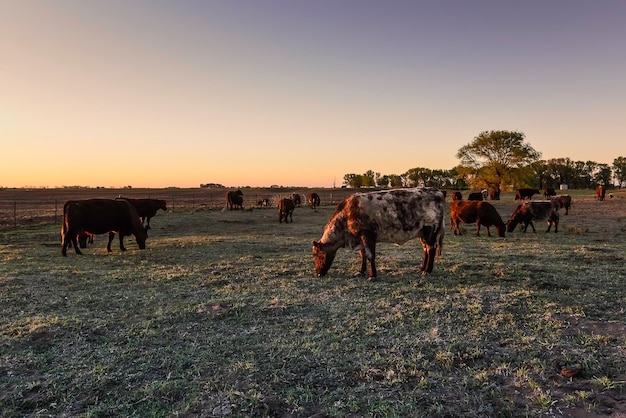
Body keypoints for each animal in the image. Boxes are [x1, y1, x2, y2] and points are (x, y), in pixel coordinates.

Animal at [312, 187, 444, 280]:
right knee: (425, 249)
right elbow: (363, 254)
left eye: (317, 254)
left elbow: (370, 256)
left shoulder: (368, 234)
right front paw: (361, 271)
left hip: (430, 228)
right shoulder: (360, 238)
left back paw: (427, 271)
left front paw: (372, 275)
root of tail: (438, 191)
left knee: (431, 249)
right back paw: (422, 268)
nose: (317, 273)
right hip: (421, 232)